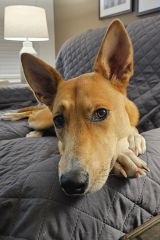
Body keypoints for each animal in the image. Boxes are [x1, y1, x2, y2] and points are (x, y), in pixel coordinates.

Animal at [0, 19, 149, 195]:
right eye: (58, 120)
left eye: (101, 113)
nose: (71, 183)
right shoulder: (62, 147)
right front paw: (123, 156)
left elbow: (132, 131)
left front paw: (133, 138)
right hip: (39, 120)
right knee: (29, 114)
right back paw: (13, 117)